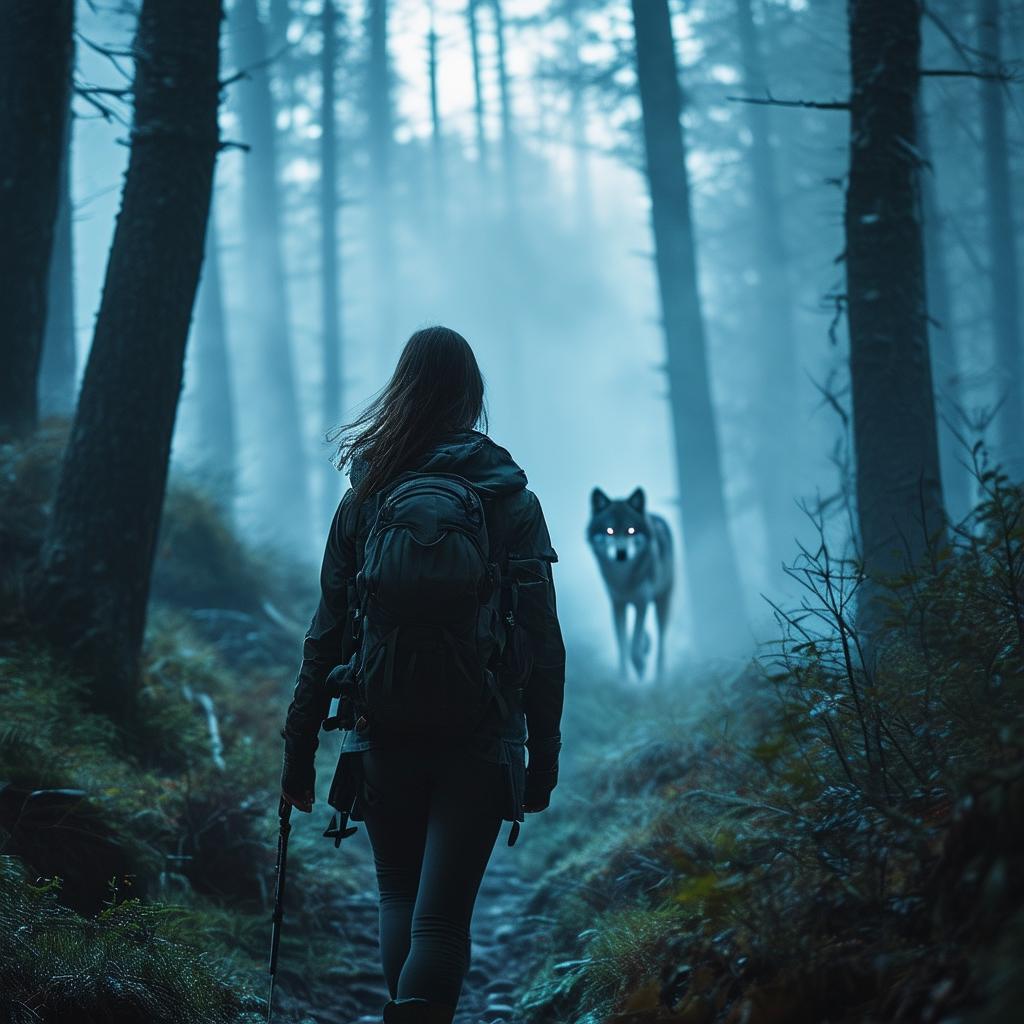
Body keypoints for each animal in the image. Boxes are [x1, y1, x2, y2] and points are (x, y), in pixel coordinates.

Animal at [585, 485, 671, 679]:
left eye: (631, 530)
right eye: (609, 530)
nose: (621, 553)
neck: (623, 579)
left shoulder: (642, 601)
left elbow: (633, 642)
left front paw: (639, 665)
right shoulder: (617, 604)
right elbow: (622, 645)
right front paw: (623, 679)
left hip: (662, 602)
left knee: (661, 642)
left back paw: (660, 678)